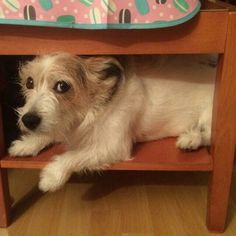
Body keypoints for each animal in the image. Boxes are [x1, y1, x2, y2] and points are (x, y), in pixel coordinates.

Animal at [8, 53, 216, 192]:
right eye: (29, 82)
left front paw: (52, 176)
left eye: (62, 86)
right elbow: (50, 133)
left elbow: (73, 156)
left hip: (210, 115)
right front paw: (26, 144)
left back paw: (191, 139)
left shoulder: (112, 146)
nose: (28, 120)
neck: (92, 110)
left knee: (209, 136)